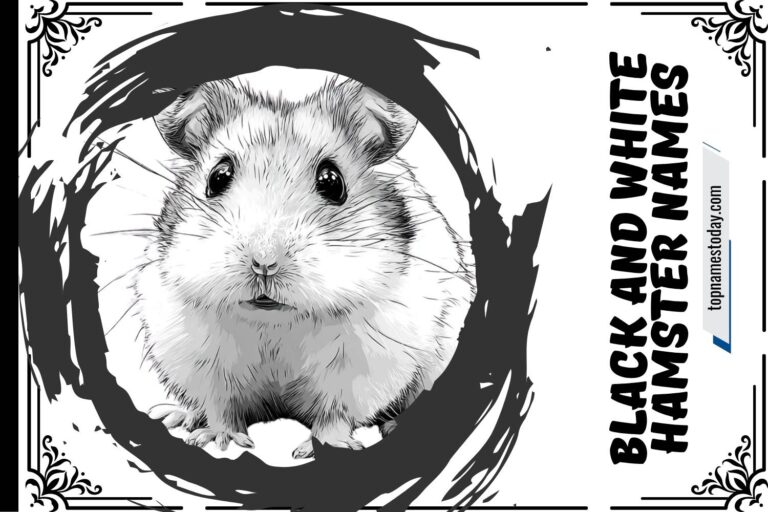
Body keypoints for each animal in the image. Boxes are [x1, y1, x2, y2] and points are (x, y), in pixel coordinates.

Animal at [134, 76, 475, 457]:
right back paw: (174, 415)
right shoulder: (197, 354)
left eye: (332, 181)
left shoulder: (365, 361)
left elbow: (336, 412)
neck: (276, 323)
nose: (264, 263)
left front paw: (319, 448)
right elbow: (221, 406)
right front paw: (220, 439)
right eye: (218, 176)